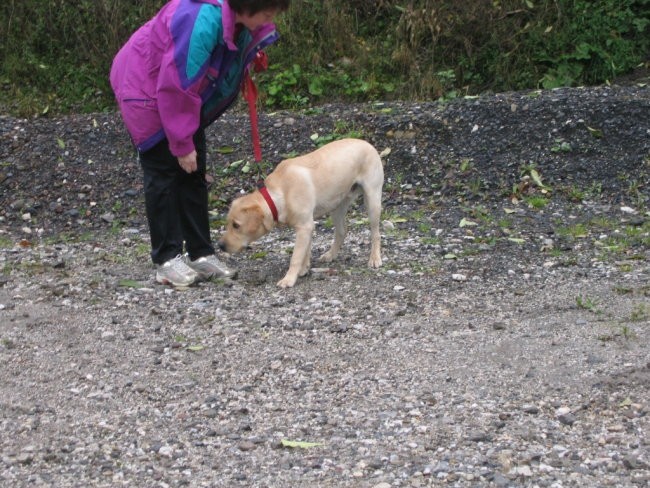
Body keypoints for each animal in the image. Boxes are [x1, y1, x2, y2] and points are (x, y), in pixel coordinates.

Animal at [219, 138, 380, 286]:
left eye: (236, 225)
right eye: (228, 224)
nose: (220, 246)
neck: (280, 193)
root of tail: (365, 142)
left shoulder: (304, 226)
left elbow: (296, 257)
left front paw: (289, 279)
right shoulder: (307, 226)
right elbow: (305, 251)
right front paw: (304, 268)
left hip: (373, 201)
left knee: (376, 233)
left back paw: (375, 258)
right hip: (337, 206)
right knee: (342, 231)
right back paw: (330, 255)